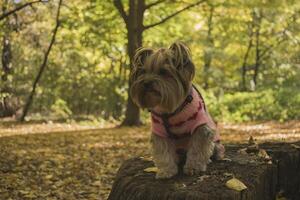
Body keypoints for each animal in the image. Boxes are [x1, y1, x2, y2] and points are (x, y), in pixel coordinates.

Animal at [130, 41, 224, 179]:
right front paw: (166, 171)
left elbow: (197, 148)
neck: (172, 111)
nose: (146, 83)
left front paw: (193, 168)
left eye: (163, 72)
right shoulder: (159, 132)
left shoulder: (200, 128)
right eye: (143, 71)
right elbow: (163, 151)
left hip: (216, 142)